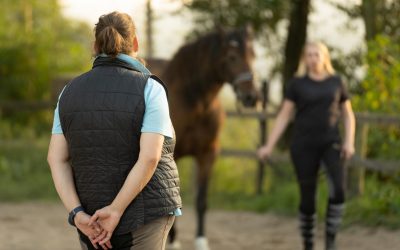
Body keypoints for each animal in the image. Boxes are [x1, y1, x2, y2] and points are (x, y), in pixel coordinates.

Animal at [147, 26, 260, 249]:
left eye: (253, 55)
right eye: (232, 56)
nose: (251, 97)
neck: (196, 103)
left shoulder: (208, 154)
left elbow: (201, 201)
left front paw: (201, 241)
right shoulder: (174, 155)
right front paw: (173, 242)